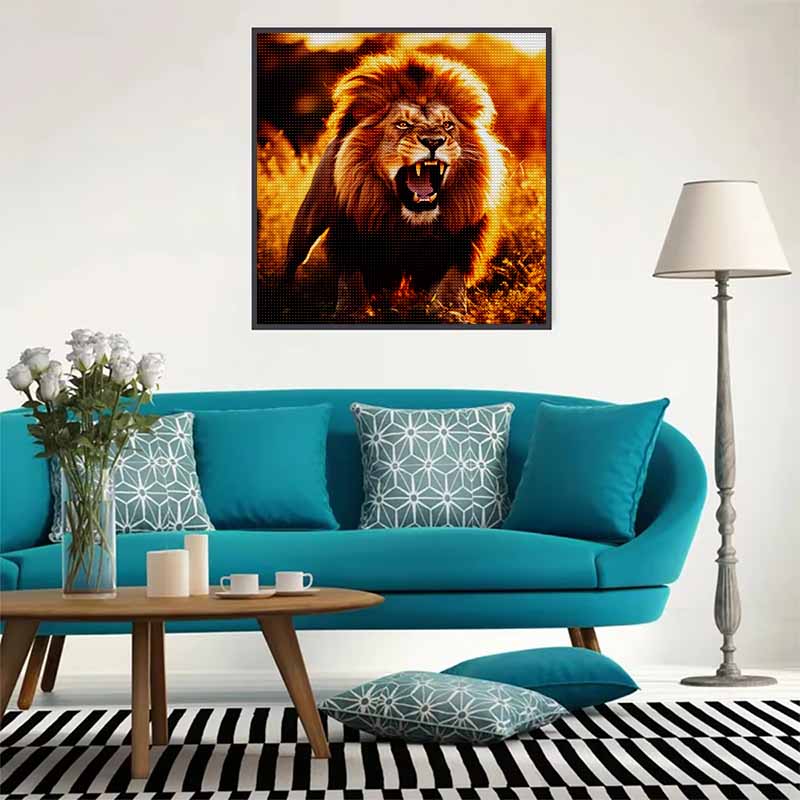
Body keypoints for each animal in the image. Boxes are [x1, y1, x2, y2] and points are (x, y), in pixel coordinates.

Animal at [284, 50, 507, 321]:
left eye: (448, 125)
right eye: (403, 124)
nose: (434, 141)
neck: (412, 221)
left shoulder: (458, 248)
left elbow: (449, 291)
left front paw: (449, 311)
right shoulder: (350, 242)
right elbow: (352, 289)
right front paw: (352, 312)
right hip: (307, 223)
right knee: (294, 260)